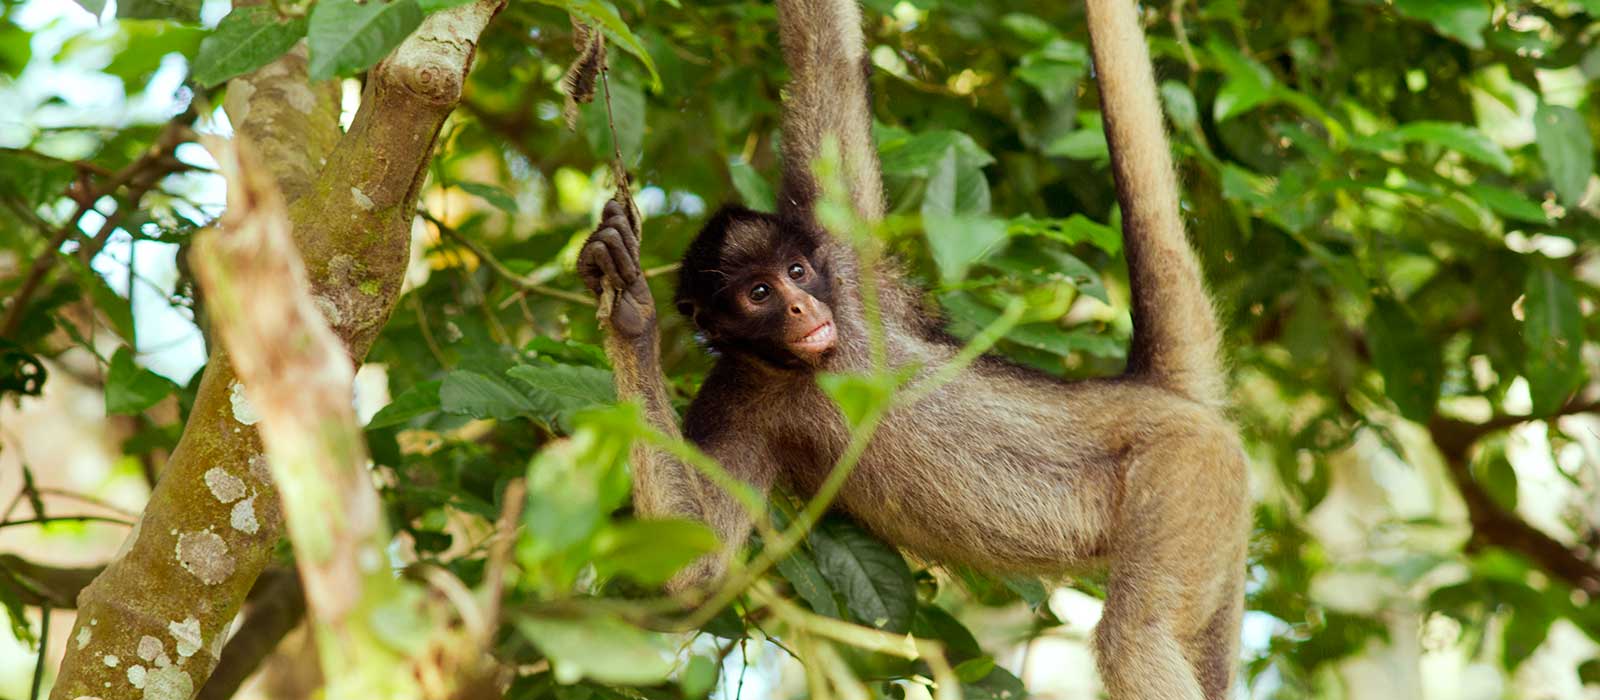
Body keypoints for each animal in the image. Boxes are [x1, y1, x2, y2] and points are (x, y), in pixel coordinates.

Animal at [576, 0, 1248, 693]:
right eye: (758, 293)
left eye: (795, 272)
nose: (802, 308)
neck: (807, 366)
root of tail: (1149, 392)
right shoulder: (737, 393)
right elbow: (697, 568)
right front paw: (630, 314)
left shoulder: (844, 265)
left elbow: (826, 52)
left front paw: (627, 302)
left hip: (1183, 469)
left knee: (1134, 639)